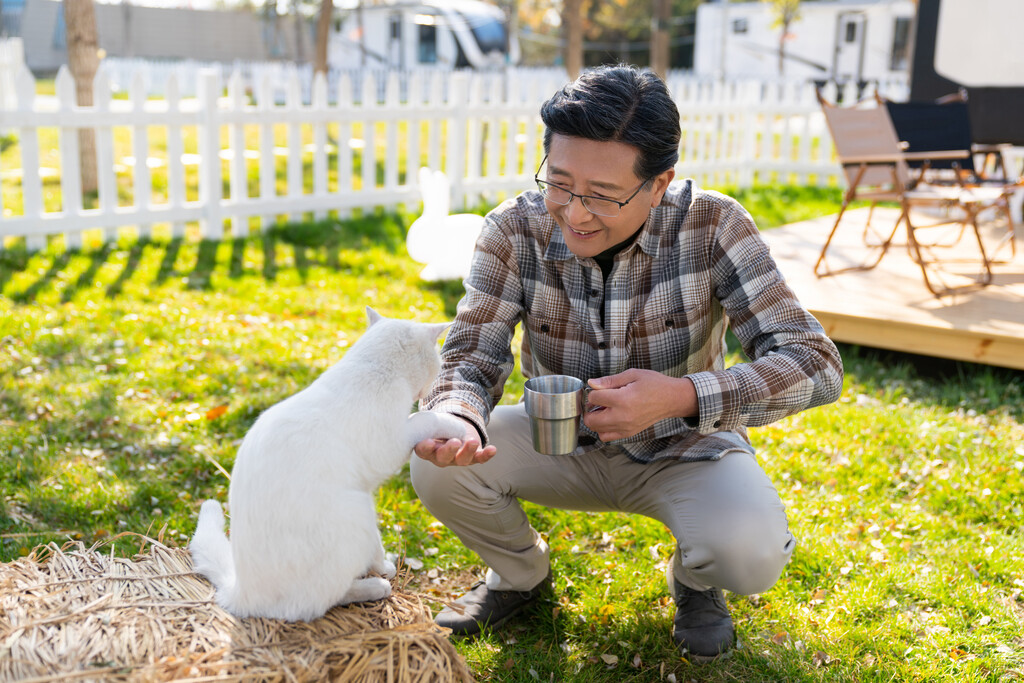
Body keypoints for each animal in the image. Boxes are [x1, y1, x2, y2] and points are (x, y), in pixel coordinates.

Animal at [188, 309, 464, 626]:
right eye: (439, 364)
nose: (430, 388)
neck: (371, 368)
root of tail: (241, 595)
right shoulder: (393, 444)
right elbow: (427, 419)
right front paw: (459, 426)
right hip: (359, 512)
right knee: (320, 602)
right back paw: (375, 586)